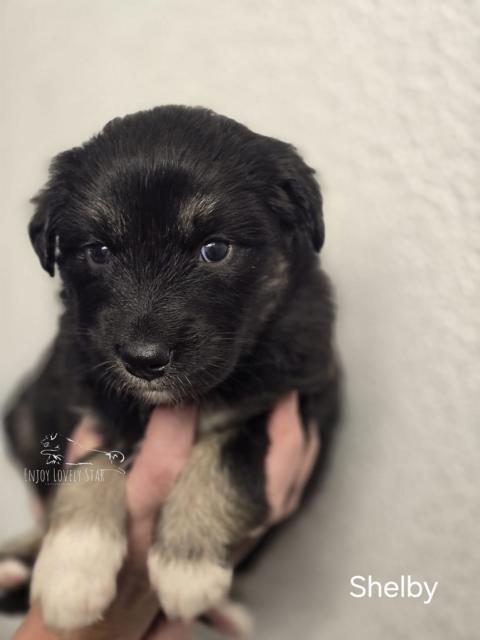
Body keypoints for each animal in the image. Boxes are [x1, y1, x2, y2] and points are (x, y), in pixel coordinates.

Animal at [1, 105, 339, 630]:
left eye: (215, 249)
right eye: (98, 251)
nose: (144, 361)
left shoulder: (296, 398)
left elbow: (224, 459)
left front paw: (188, 566)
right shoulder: (85, 397)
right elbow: (92, 464)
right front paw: (73, 568)